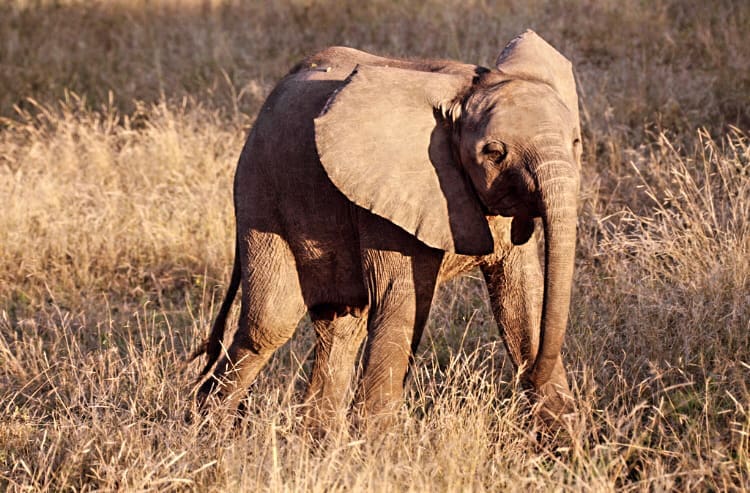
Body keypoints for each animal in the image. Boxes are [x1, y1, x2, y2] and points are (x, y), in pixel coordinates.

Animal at [192, 30, 582, 430]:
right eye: (493, 153)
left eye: (576, 142)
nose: (529, 372)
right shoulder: (389, 195)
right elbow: (403, 301)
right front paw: (374, 442)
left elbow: (522, 300)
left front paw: (565, 437)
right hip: (261, 193)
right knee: (269, 324)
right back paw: (206, 430)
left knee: (340, 325)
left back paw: (316, 437)